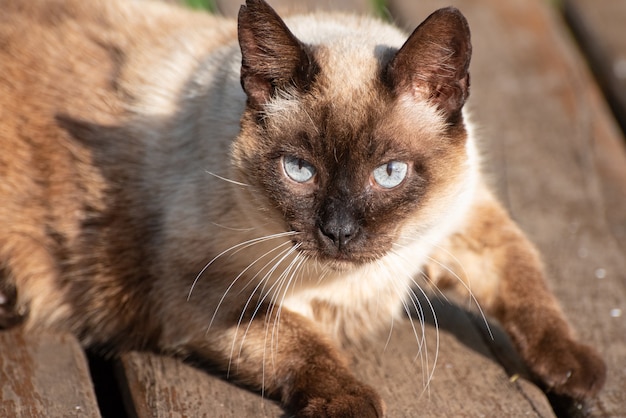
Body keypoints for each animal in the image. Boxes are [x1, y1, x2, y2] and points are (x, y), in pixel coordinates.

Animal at [0, 0, 604, 416]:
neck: (357, 283)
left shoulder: (464, 219)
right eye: (299, 170)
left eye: (389, 173)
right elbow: (305, 343)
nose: (338, 232)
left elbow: (525, 282)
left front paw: (578, 371)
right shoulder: (206, 292)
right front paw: (353, 403)